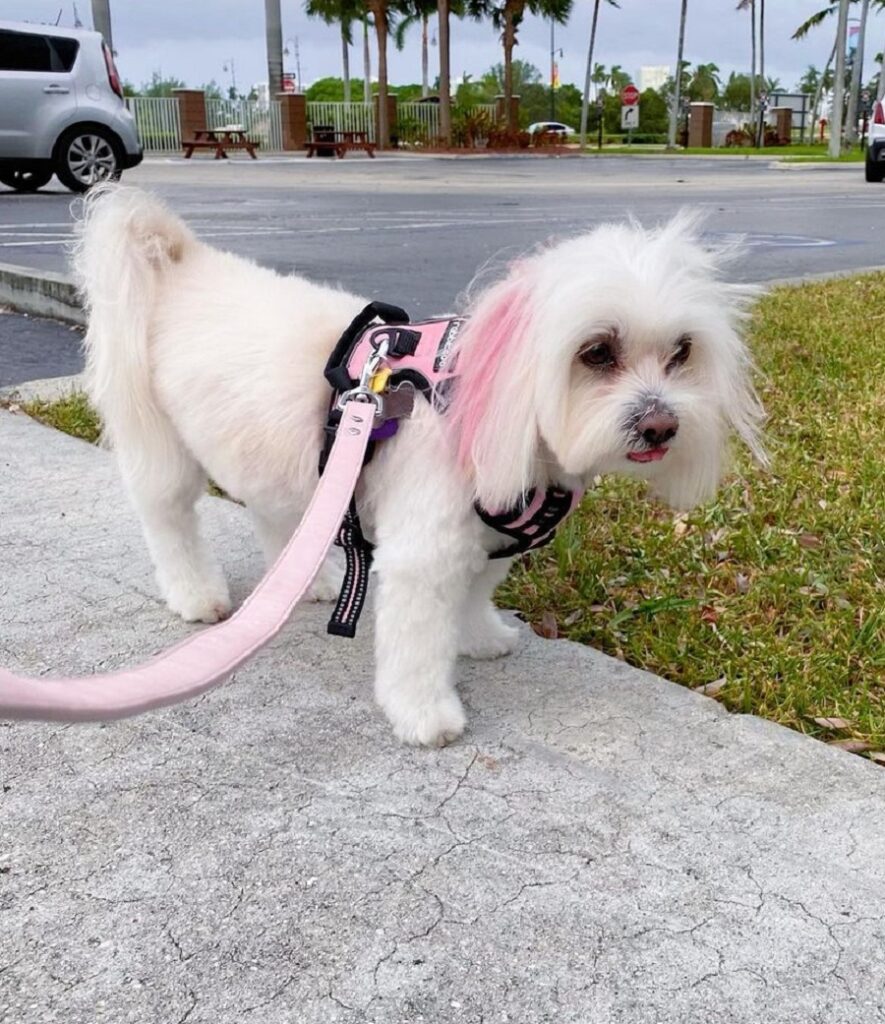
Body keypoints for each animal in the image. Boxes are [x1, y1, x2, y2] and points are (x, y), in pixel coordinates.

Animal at [72, 186, 762, 745]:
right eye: (596, 352)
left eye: (682, 351)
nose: (662, 424)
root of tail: (182, 263)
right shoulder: (424, 552)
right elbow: (417, 641)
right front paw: (425, 715)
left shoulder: (489, 539)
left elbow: (475, 596)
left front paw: (479, 637)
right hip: (162, 444)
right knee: (169, 518)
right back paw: (197, 595)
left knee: (274, 512)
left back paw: (308, 577)